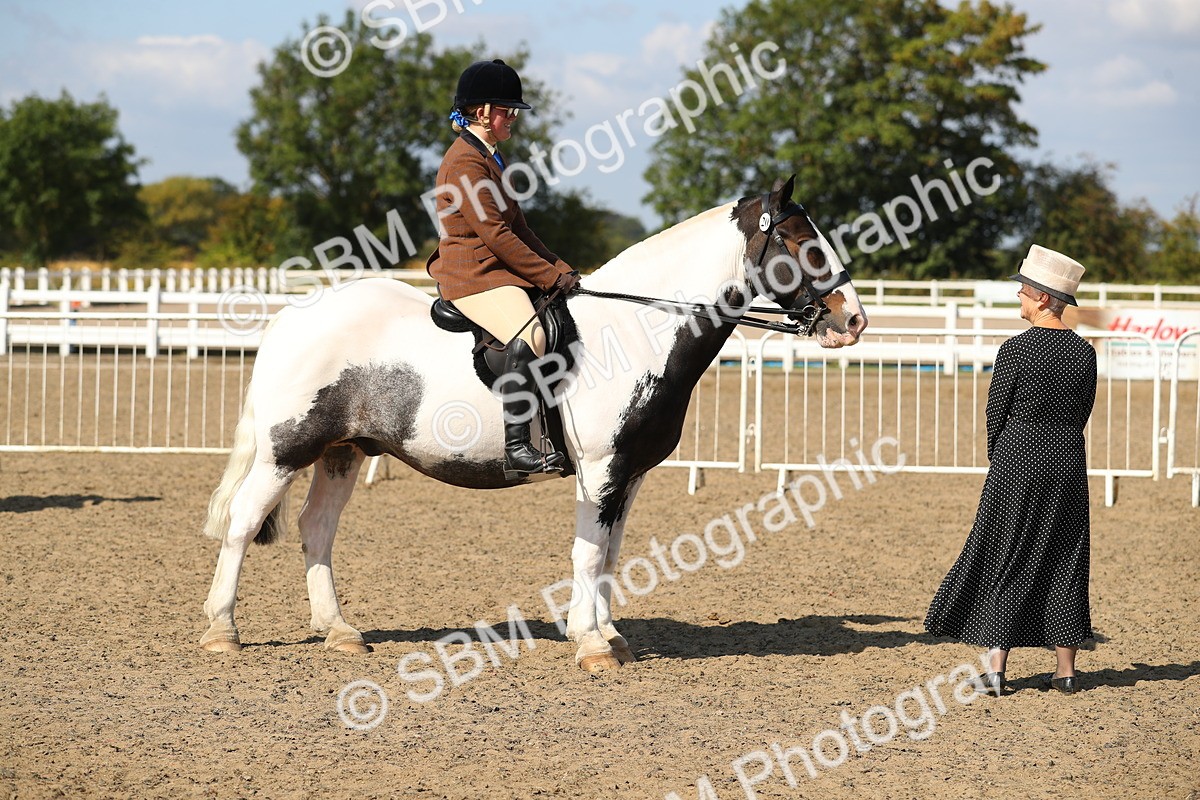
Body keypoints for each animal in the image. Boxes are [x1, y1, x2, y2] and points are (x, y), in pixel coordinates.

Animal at [199, 176, 868, 672]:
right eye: (801, 241)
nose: (854, 320)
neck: (637, 329)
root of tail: (294, 314)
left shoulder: (629, 473)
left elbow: (610, 554)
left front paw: (607, 634)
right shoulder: (601, 469)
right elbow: (588, 554)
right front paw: (592, 645)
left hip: (344, 450)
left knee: (317, 529)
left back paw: (339, 631)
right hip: (286, 452)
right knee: (243, 522)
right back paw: (222, 630)